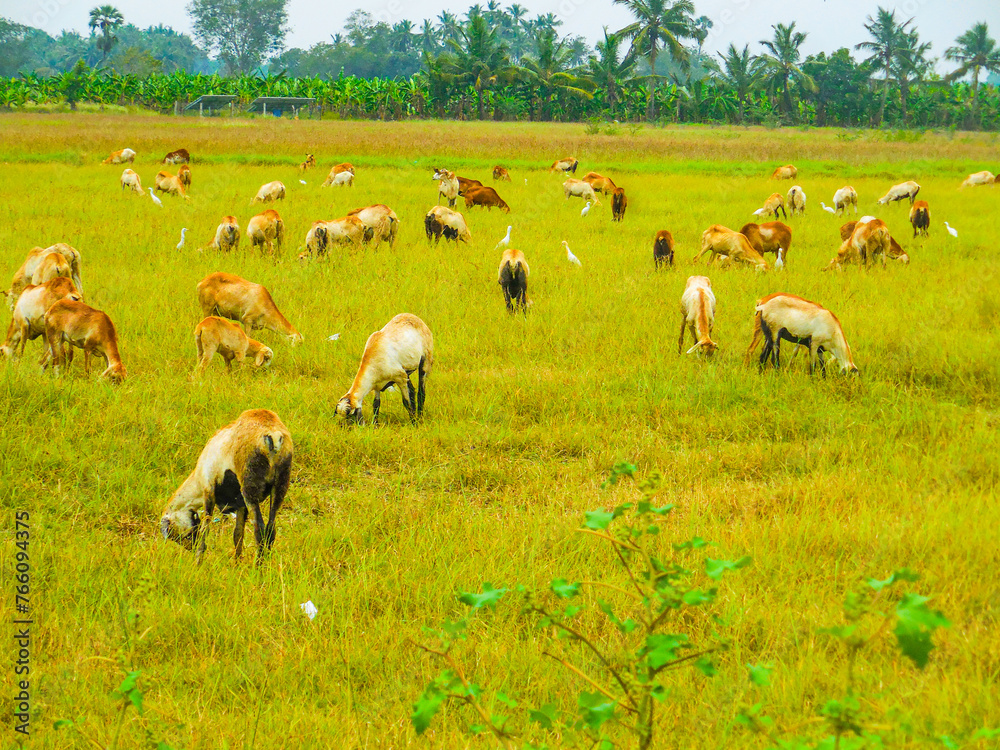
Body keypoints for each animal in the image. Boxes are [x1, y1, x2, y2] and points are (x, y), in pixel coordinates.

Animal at [159, 409, 292, 563]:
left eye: (174, 534)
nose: (191, 548)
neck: (197, 477)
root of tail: (273, 434)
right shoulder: (240, 504)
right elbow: (238, 534)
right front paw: (237, 563)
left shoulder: (209, 491)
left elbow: (205, 530)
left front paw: (198, 561)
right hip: (280, 486)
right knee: (271, 530)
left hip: (250, 489)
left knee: (259, 530)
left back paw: (258, 566)